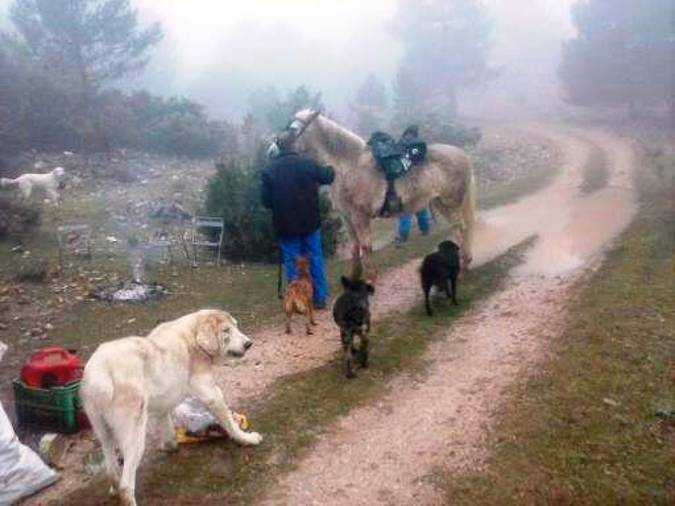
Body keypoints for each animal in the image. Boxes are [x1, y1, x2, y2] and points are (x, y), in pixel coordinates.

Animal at [80, 308, 262, 506]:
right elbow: (230, 423)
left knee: (112, 469)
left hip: (104, 433)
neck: (193, 336)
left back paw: (113, 488)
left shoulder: (163, 407)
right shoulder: (212, 395)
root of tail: (100, 371)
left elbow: (167, 427)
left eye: (236, 327)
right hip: (134, 435)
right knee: (126, 485)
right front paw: (246, 439)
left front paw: (170, 446)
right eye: (226, 331)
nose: (249, 344)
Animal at [290, 110, 476, 280]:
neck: (349, 166)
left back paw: (463, 267)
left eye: (293, 129)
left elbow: (365, 246)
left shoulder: (360, 217)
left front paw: (371, 278)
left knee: (461, 229)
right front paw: (355, 276)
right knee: (458, 229)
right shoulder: (347, 217)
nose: (279, 150)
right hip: (440, 202)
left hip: (451, 202)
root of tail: (461, 154)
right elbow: (354, 247)